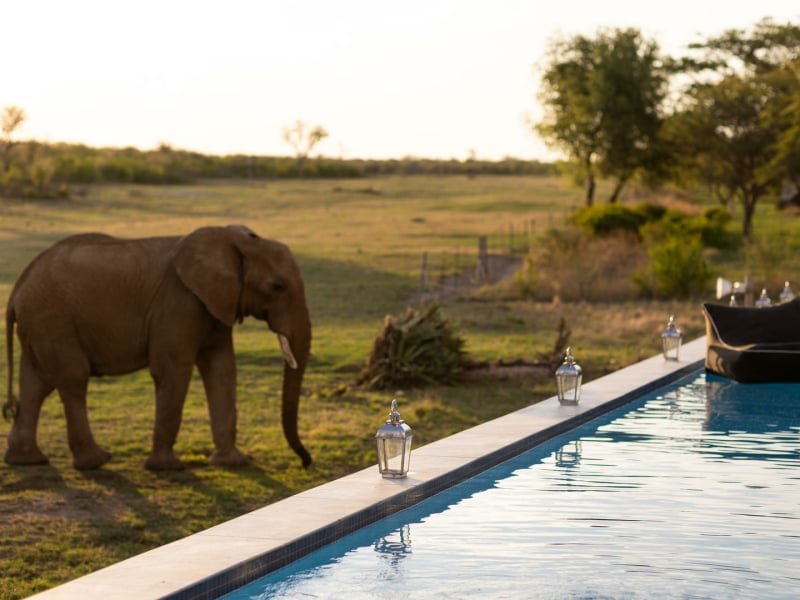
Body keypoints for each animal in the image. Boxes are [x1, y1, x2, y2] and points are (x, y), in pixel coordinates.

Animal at [3, 224, 312, 468]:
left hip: (40, 324)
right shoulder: (178, 302)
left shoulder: (214, 304)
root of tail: (17, 289)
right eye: (277, 287)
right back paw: (96, 461)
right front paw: (167, 467)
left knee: (36, 384)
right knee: (73, 379)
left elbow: (222, 368)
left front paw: (234, 462)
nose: (306, 462)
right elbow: (173, 369)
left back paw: (27, 460)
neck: (234, 239)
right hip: (53, 320)